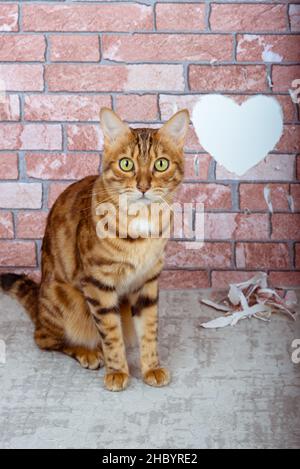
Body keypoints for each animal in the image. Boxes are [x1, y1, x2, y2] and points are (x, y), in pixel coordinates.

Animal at [0, 107, 189, 392]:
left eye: (161, 164)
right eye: (126, 164)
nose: (143, 186)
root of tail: (39, 301)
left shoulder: (148, 280)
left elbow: (149, 329)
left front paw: (151, 367)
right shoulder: (98, 283)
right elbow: (110, 333)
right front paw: (118, 371)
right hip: (65, 300)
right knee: (45, 339)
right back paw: (87, 352)